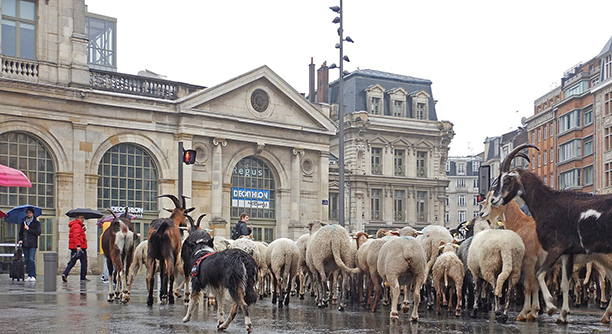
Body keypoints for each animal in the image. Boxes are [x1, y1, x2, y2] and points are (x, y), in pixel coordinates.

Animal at [490, 144, 612, 324]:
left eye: (507, 180)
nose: (493, 200)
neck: (547, 202)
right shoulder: (567, 253)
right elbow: (564, 283)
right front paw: (562, 315)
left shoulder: (556, 248)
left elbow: (540, 275)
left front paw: (550, 307)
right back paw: (606, 315)